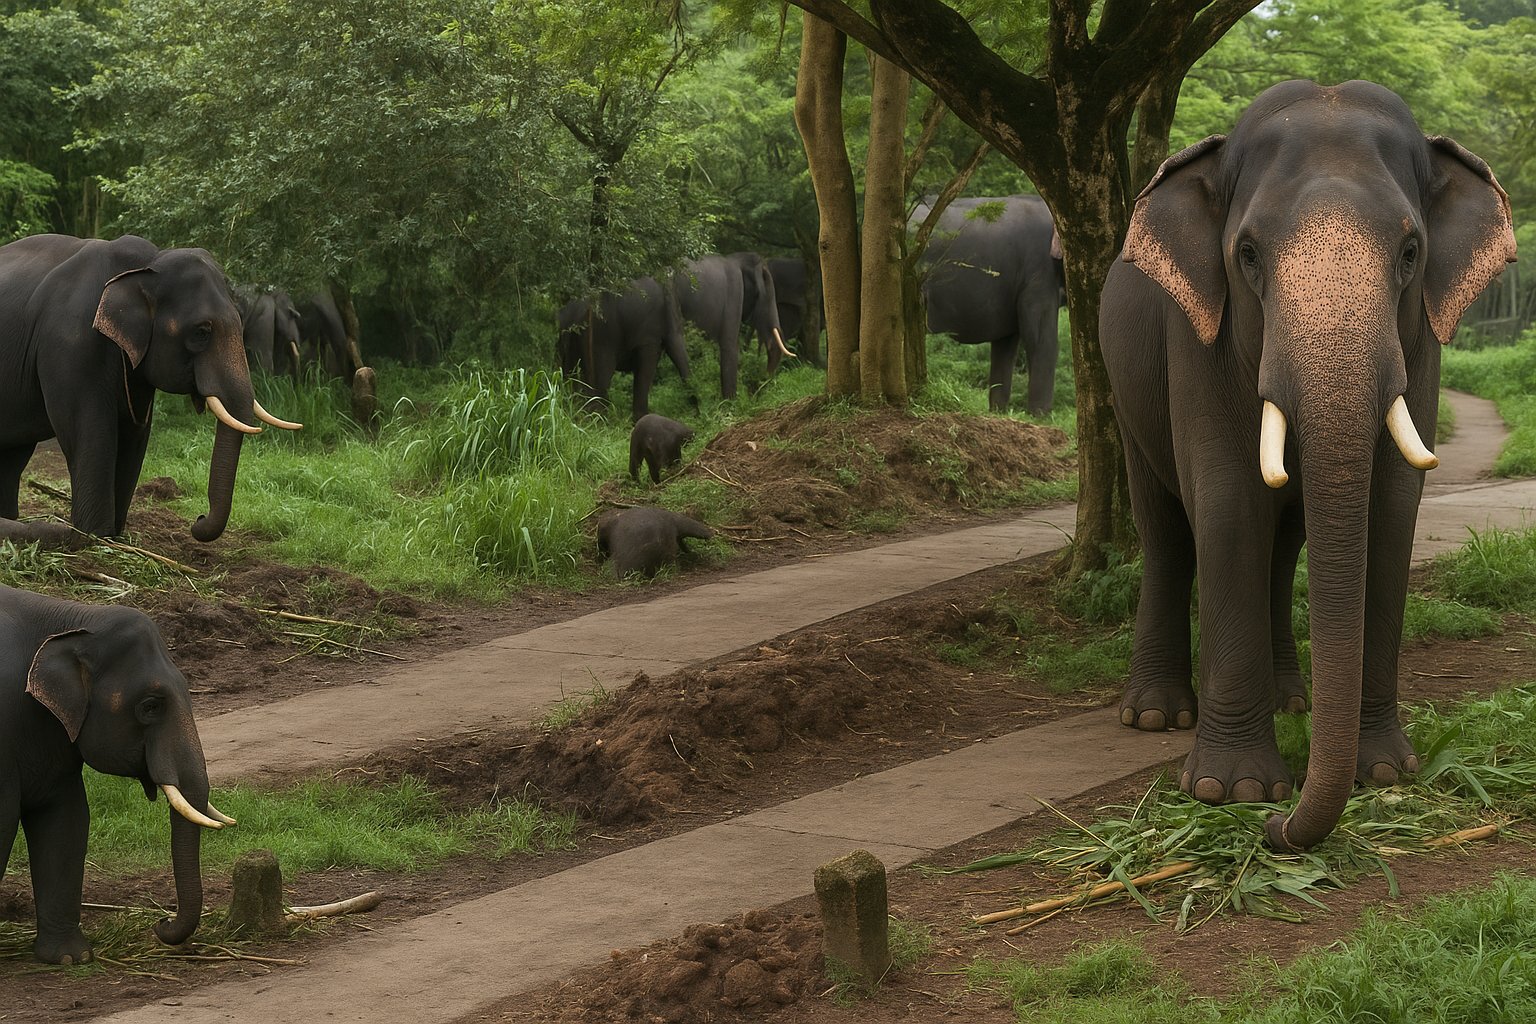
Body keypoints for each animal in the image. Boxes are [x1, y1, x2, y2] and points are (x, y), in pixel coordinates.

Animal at [0, 234, 301, 542]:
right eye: (201, 332)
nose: (198, 519)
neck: (146, 265)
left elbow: (136, 432)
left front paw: (113, 536)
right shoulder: (70, 343)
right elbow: (89, 429)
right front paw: (92, 535)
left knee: (15, 453)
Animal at [0, 584, 234, 963]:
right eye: (150, 706)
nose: (161, 922)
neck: (71, 618)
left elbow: (67, 822)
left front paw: (71, 958)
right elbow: (3, 822)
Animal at [1100, 79, 1516, 853]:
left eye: (1411, 250)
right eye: (1247, 254)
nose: (1279, 830)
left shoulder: (1421, 343)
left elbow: (1391, 507)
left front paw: (1382, 773)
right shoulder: (1198, 342)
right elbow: (1229, 504)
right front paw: (1229, 792)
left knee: (1284, 548)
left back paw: (1291, 699)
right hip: (1123, 391)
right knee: (1166, 533)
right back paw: (1156, 716)